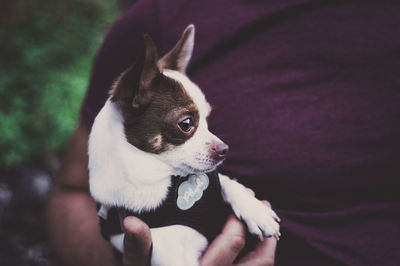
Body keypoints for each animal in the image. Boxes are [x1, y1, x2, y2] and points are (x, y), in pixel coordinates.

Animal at [88, 25, 280, 266]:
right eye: (186, 124)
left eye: (208, 119)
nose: (224, 149)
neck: (156, 176)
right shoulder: (171, 257)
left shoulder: (212, 180)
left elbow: (223, 181)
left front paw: (255, 209)